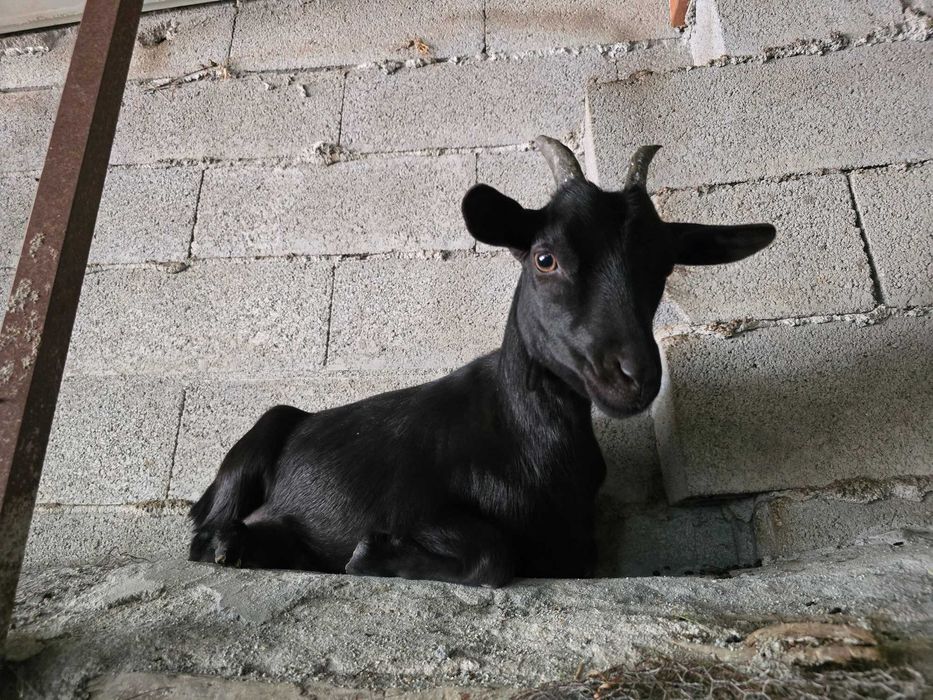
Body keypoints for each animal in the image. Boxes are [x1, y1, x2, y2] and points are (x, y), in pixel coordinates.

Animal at [188, 137, 775, 586]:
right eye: (545, 258)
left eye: (664, 265)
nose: (633, 374)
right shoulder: (411, 504)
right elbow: (495, 553)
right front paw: (372, 554)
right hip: (263, 432)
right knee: (203, 531)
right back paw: (228, 543)